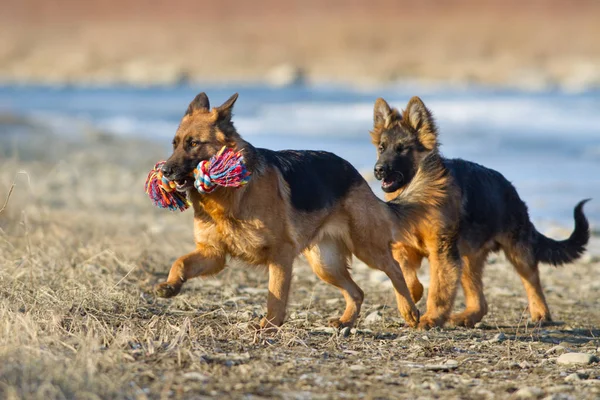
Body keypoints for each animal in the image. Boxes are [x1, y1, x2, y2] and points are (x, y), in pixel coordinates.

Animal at [152, 92, 420, 330]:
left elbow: (276, 295)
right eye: (174, 144)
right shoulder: (213, 253)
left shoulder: (280, 254)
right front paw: (170, 285)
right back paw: (346, 321)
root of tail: (355, 173)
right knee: (357, 291)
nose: (164, 171)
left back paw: (409, 310)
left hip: (366, 247)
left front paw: (269, 326)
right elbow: (180, 262)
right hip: (326, 264)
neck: (229, 195)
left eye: (193, 144)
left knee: (395, 269)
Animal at [370, 96, 592, 328]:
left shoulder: (442, 252)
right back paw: (466, 316)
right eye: (381, 148)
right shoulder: (404, 248)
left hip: (517, 252)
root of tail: (511, 190)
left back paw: (541, 313)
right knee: (481, 302)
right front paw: (411, 298)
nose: (378, 170)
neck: (417, 192)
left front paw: (431, 318)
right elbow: (405, 275)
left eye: (402, 149)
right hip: (468, 259)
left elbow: (438, 291)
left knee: (532, 280)